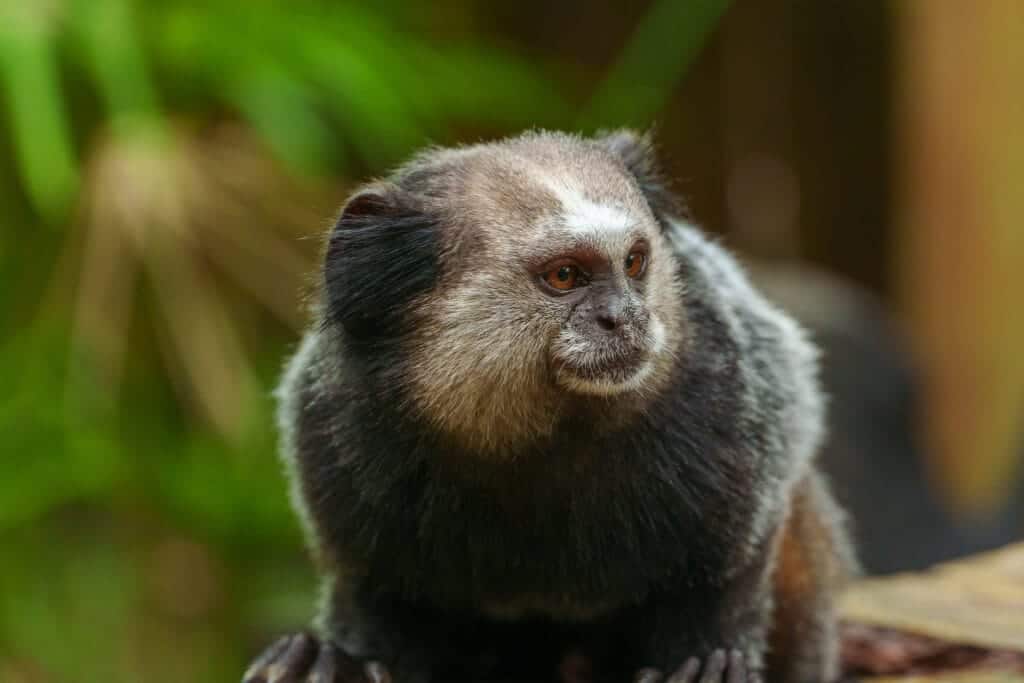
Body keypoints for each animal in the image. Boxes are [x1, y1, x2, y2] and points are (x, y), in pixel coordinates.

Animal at [242, 130, 856, 683]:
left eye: (634, 264)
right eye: (565, 276)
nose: (625, 317)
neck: (541, 438)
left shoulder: (731, 407)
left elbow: (729, 573)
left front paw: (713, 663)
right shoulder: (335, 434)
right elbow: (378, 600)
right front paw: (331, 662)